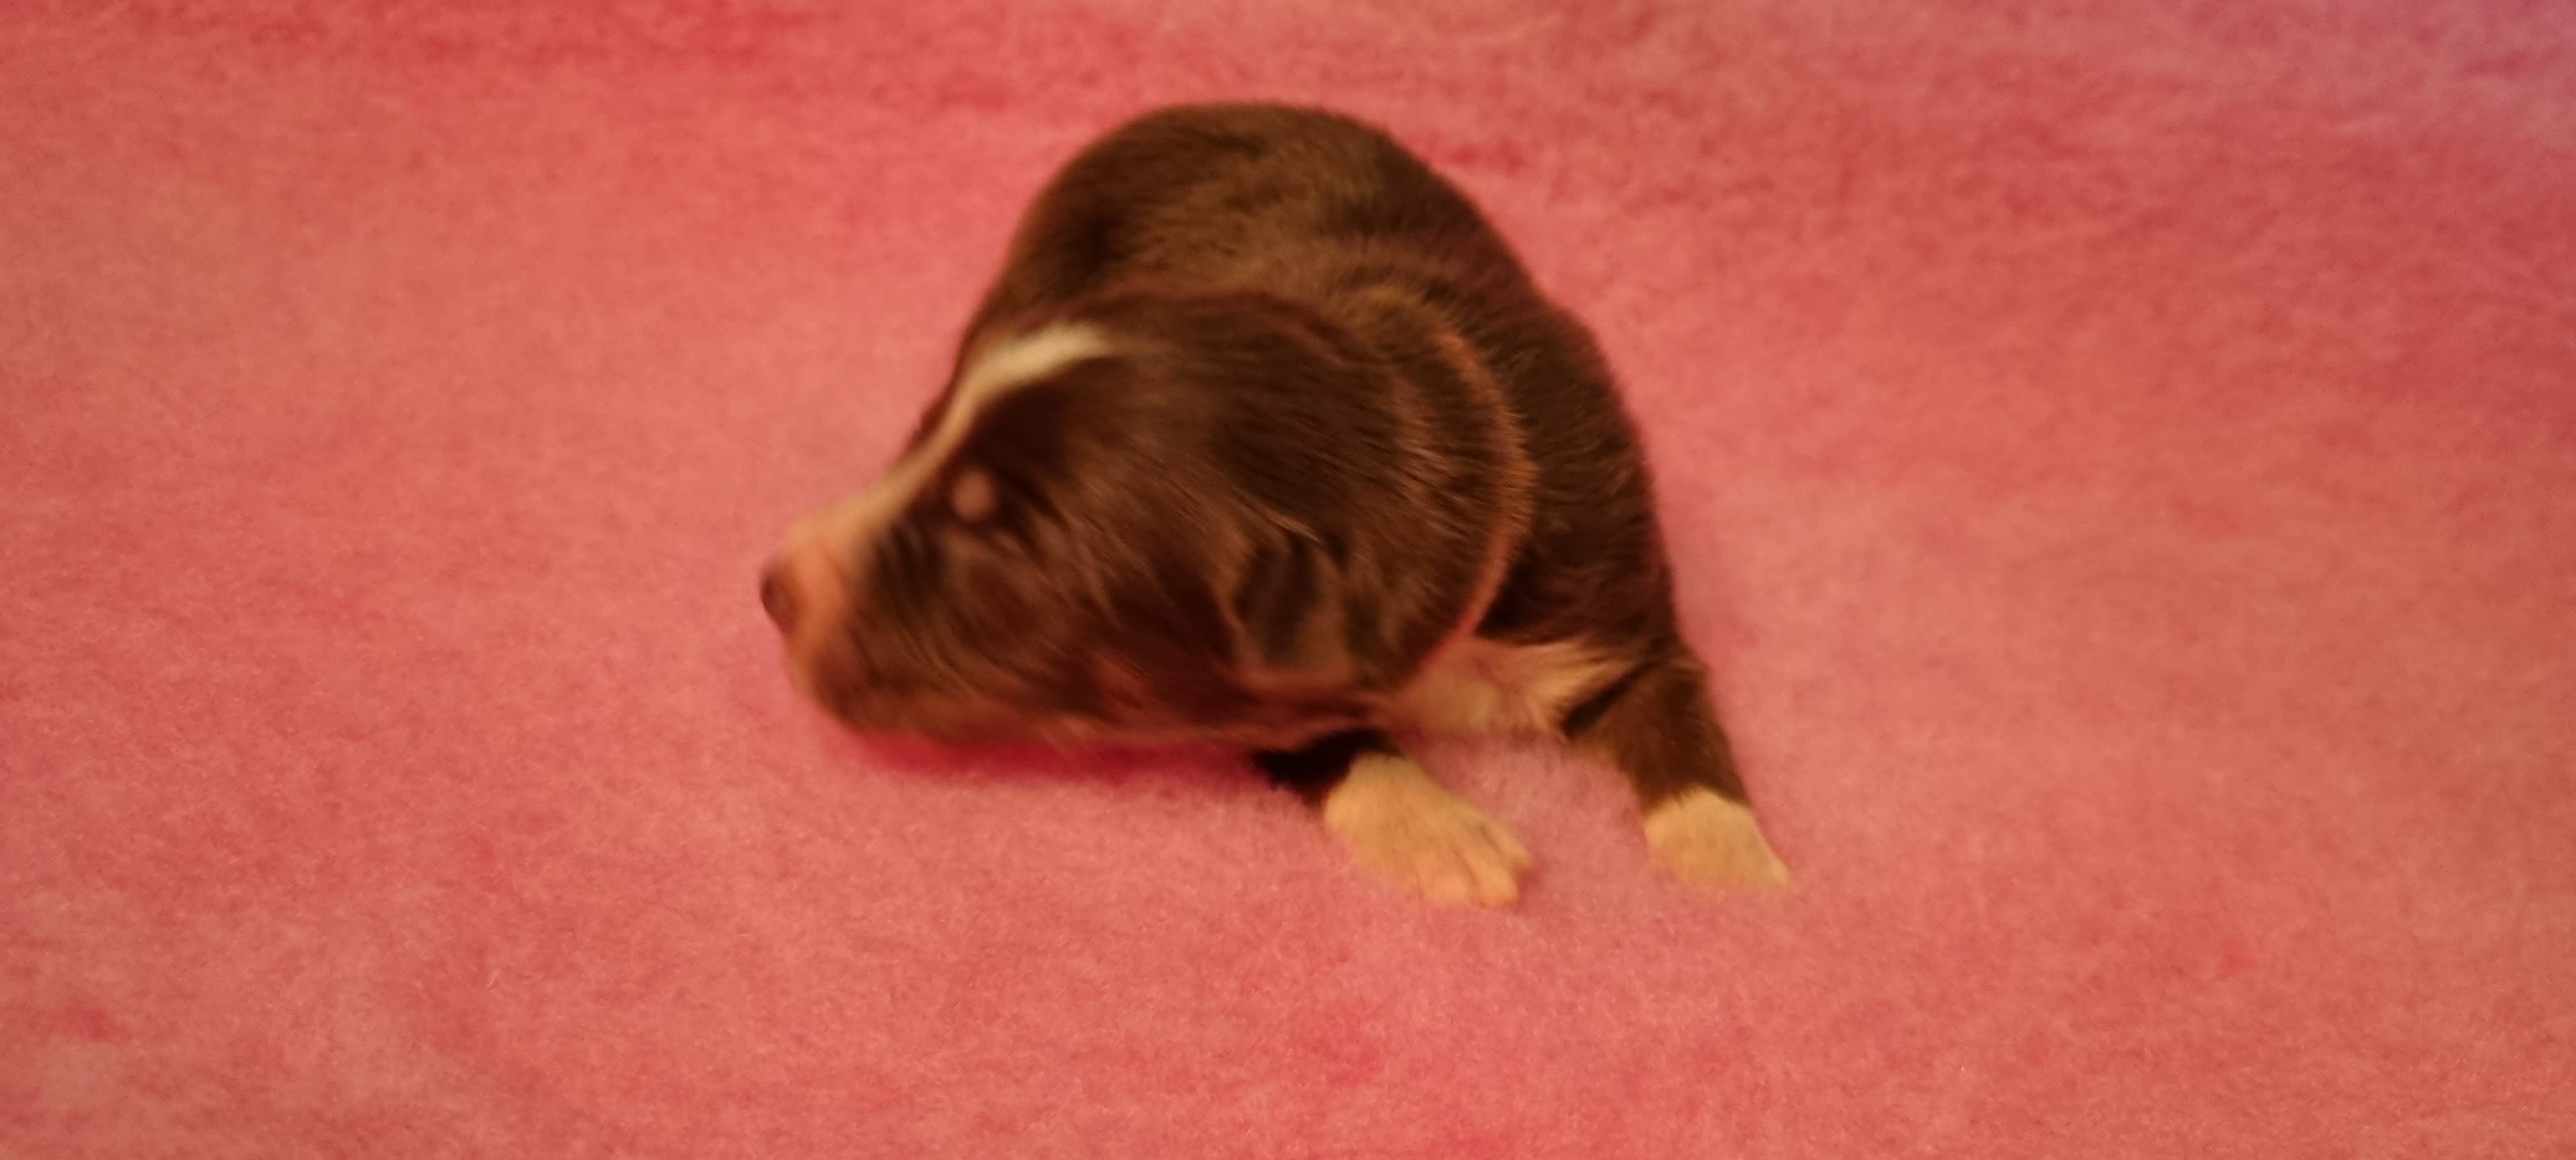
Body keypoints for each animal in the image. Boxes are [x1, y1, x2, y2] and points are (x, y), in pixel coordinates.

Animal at [762, 103, 1786, 906]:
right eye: (924, 444)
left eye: (1002, 543)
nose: (773, 587)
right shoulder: (1258, 697)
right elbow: (1338, 741)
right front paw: (1443, 834)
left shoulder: (1616, 599)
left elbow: (1683, 726)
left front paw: (1734, 878)